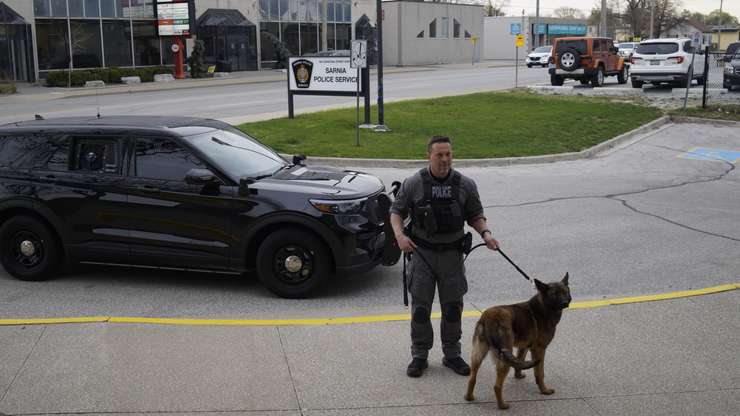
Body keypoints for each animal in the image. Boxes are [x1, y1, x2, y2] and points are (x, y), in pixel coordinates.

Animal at [462, 272, 572, 410]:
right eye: (554, 294)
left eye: (565, 292)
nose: (565, 302)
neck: (543, 306)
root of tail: (489, 318)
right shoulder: (539, 350)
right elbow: (539, 373)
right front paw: (544, 390)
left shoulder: (524, 347)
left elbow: (520, 360)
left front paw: (518, 375)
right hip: (504, 358)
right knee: (497, 386)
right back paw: (502, 405)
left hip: (478, 354)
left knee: (472, 378)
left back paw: (469, 397)